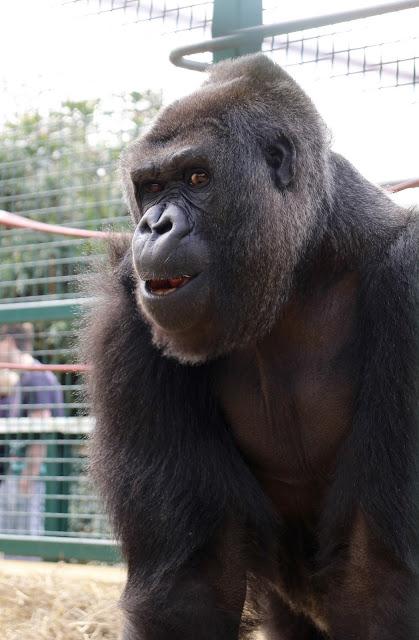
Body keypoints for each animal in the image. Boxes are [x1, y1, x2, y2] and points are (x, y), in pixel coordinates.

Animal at [82, 56, 419, 640]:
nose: (155, 224)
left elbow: (379, 581)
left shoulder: (411, 282)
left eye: (198, 177)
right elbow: (190, 587)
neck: (306, 258)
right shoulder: (128, 314)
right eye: (151, 187)